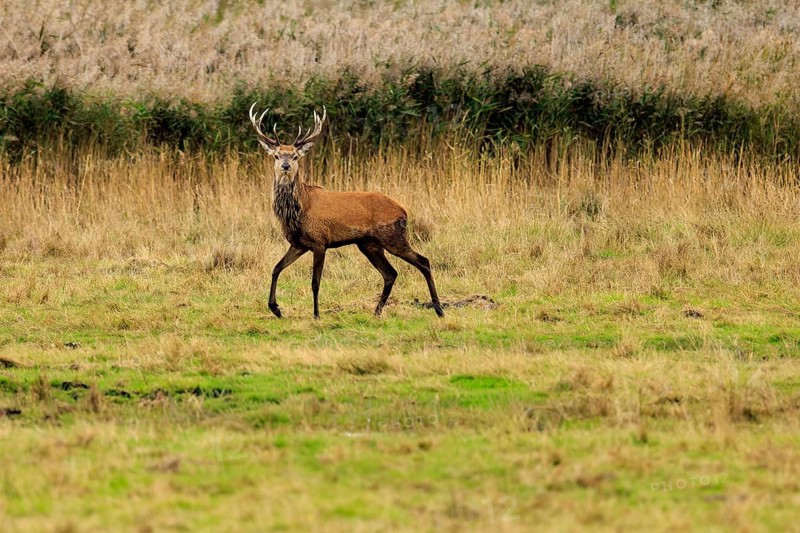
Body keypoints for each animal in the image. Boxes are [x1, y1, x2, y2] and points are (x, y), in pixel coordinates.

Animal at [249, 103, 445, 319]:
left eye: (295, 156)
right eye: (276, 155)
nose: (285, 165)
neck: (298, 211)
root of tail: (403, 210)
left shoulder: (320, 241)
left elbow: (315, 282)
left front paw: (316, 315)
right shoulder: (298, 244)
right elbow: (276, 268)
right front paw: (275, 309)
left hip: (392, 236)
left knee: (423, 261)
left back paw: (439, 309)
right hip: (368, 243)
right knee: (390, 273)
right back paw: (376, 312)